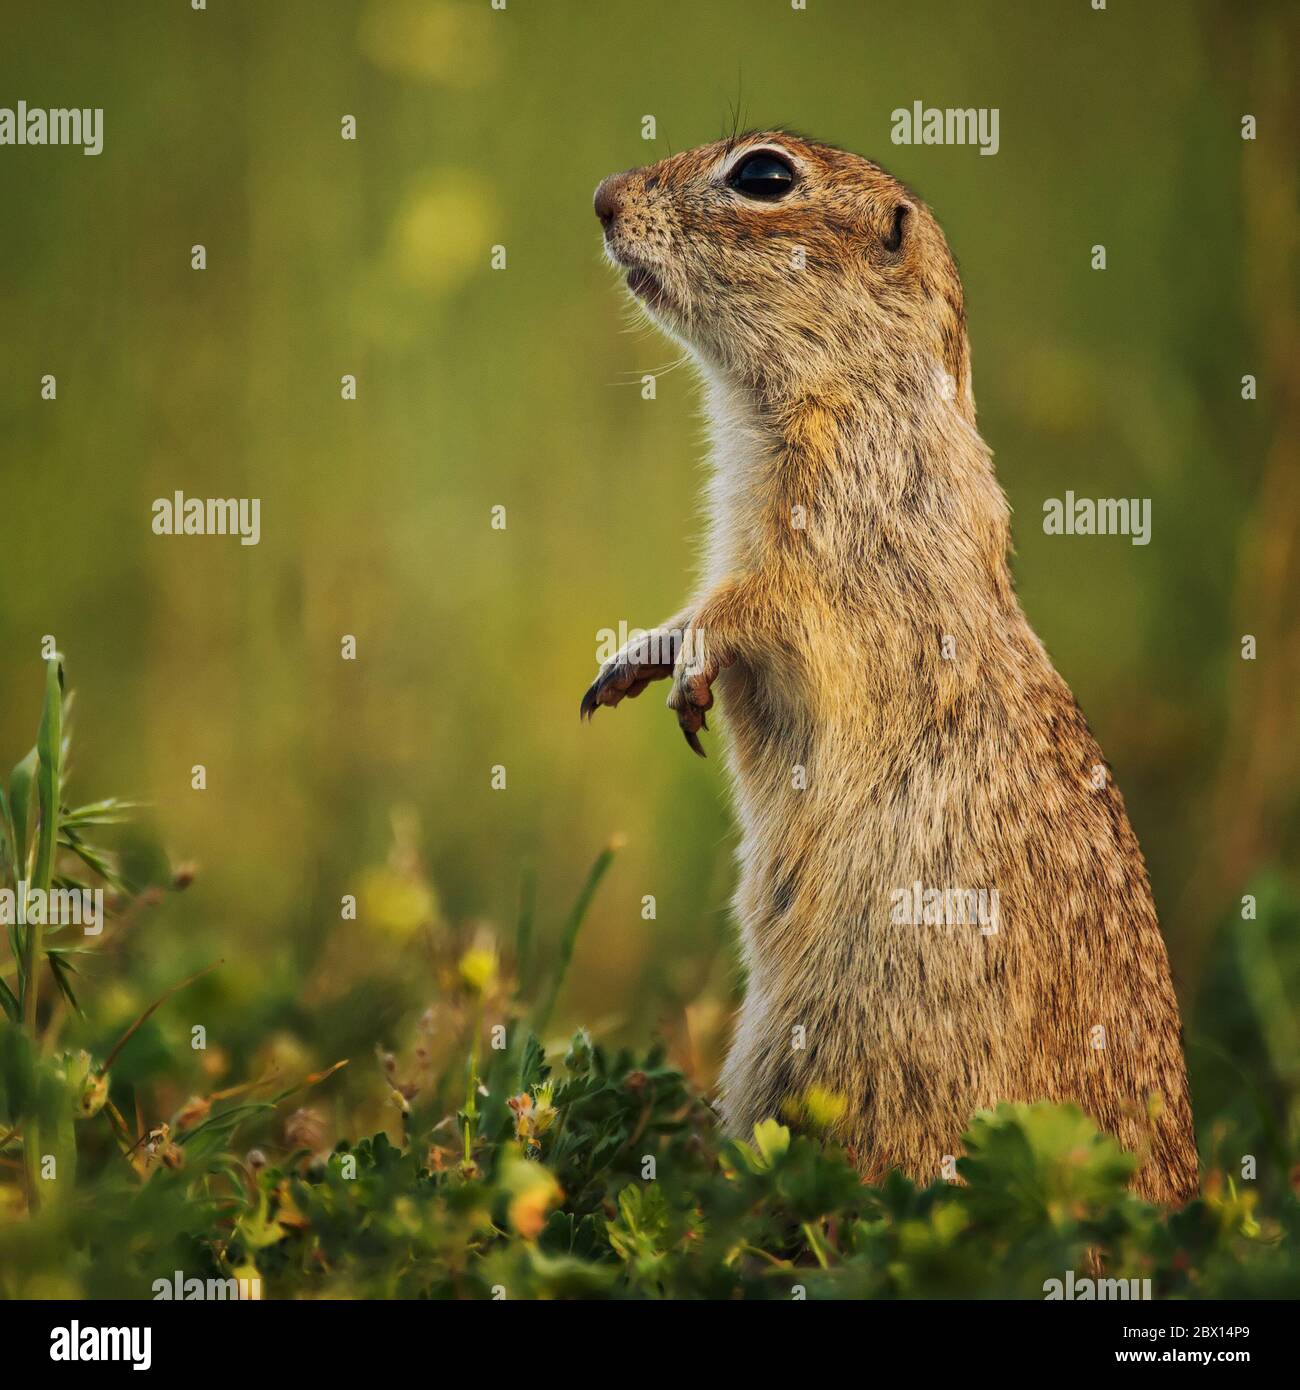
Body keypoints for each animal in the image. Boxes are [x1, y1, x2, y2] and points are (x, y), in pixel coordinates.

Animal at [581, 131, 1198, 1205]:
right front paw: (633, 662)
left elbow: (756, 608)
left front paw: (687, 665)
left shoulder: (832, 540)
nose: (604, 198)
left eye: (765, 175)